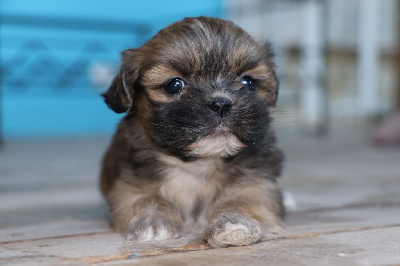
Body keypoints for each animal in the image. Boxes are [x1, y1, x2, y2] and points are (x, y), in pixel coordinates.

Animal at [101, 16, 286, 248]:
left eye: (249, 82)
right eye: (174, 85)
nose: (221, 104)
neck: (197, 166)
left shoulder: (257, 185)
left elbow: (244, 200)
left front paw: (233, 221)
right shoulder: (128, 187)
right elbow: (146, 197)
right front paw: (152, 219)